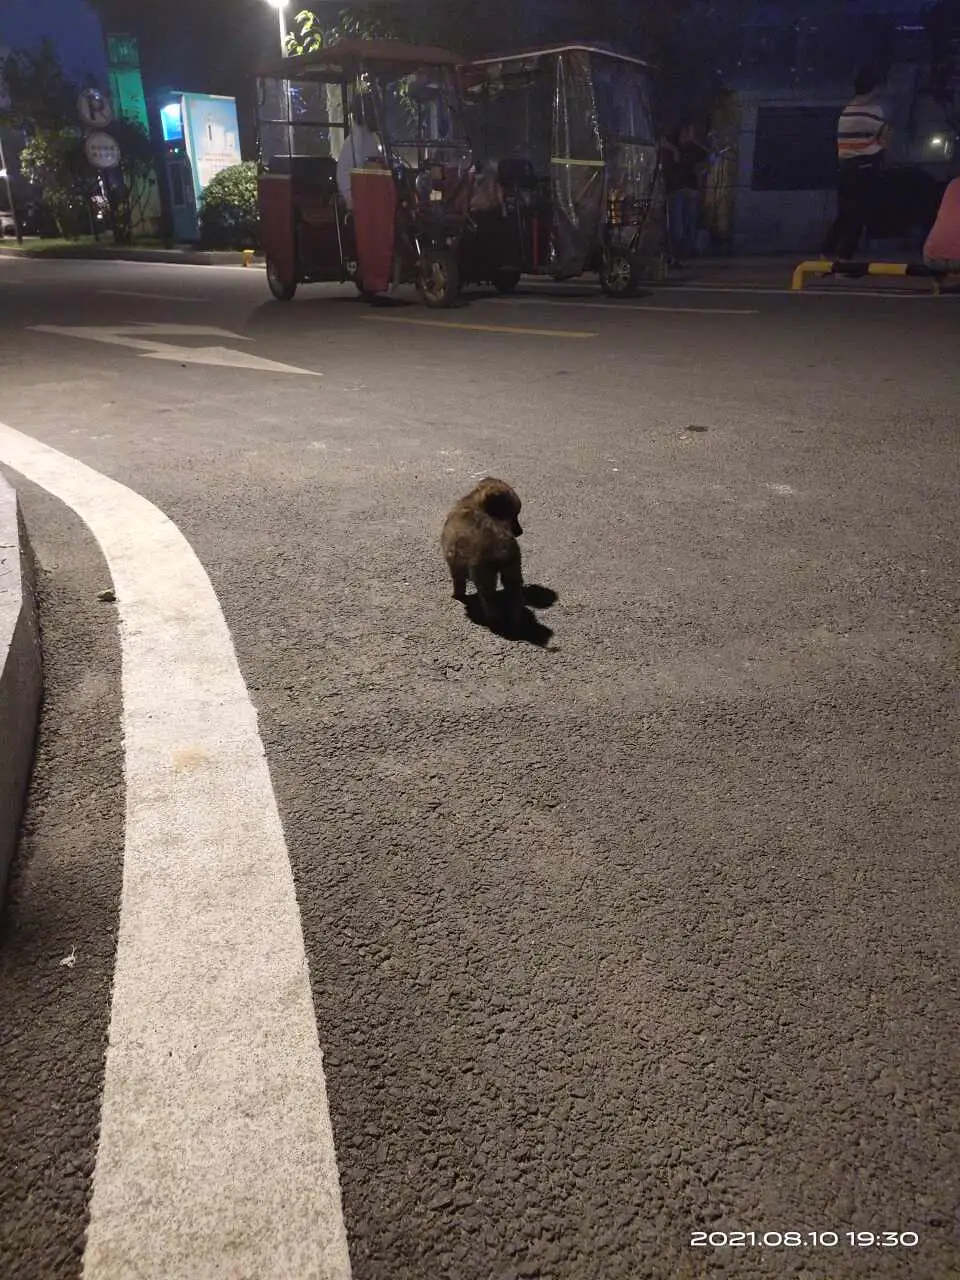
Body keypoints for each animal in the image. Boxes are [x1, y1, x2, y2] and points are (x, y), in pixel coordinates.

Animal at [442, 478, 527, 627]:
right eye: (514, 514)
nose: (520, 531)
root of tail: (501, 545)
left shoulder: (453, 555)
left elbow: (457, 577)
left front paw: (457, 594)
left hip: (482, 566)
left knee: (488, 594)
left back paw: (494, 619)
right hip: (513, 563)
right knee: (514, 588)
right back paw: (515, 616)